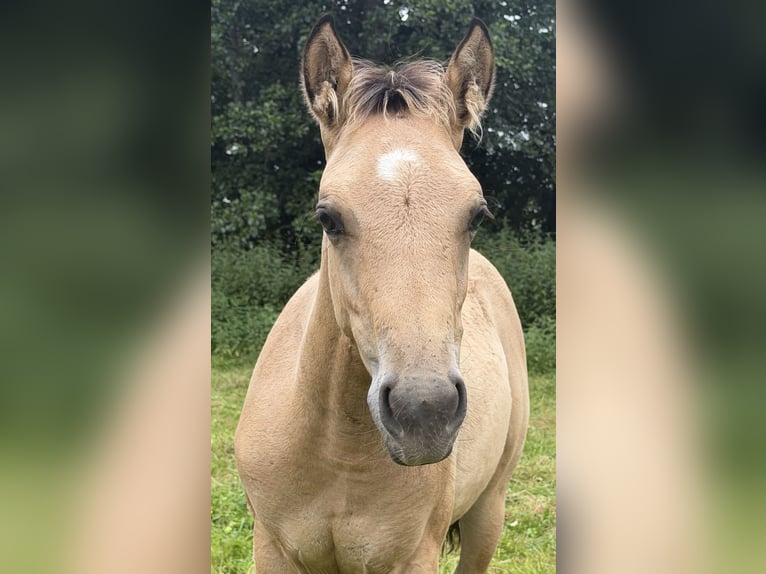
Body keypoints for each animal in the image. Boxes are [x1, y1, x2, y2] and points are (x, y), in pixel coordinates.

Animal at [235, 15, 529, 573]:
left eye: (477, 215)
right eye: (328, 217)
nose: (424, 412)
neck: (336, 451)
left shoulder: (414, 556)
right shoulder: (273, 548)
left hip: (490, 513)